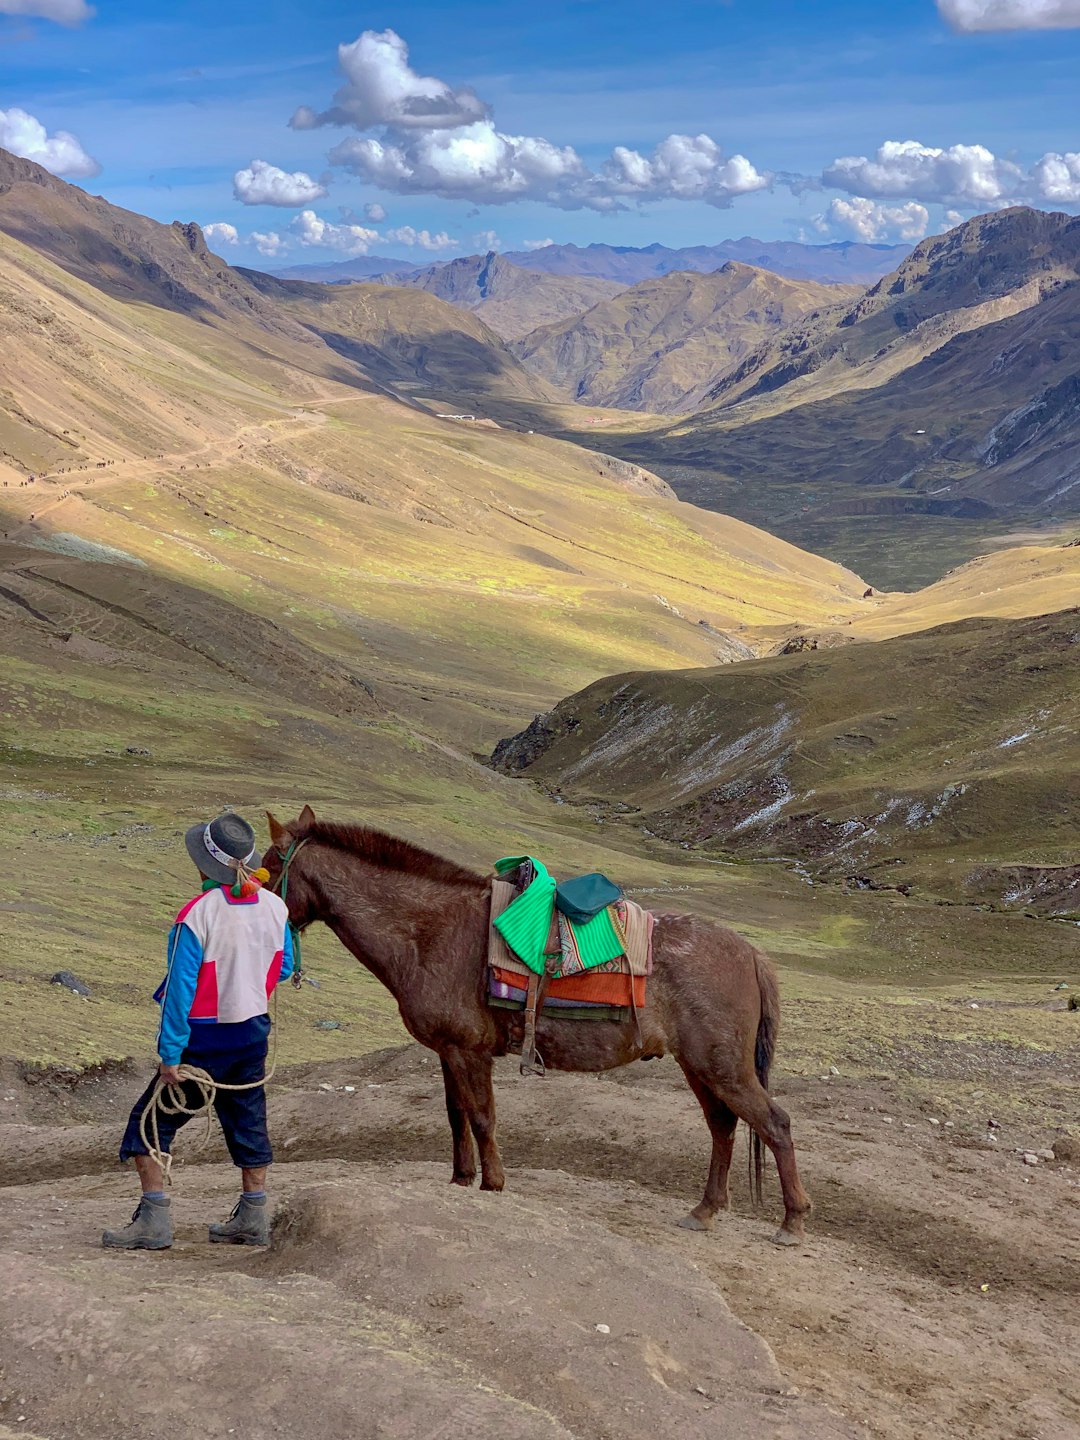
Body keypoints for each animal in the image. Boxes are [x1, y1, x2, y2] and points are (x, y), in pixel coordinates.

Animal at [269, 806, 812, 1244]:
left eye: (268, 868)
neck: (431, 933)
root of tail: (751, 953)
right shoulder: (448, 1050)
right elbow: (456, 1116)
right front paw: (460, 1179)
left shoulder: (468, 1050)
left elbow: (482, 1117)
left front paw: (492, 1183)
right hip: (698, 1066)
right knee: (723, 1127)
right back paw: (704, 1210)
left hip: (722, 1066)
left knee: (774, 1124)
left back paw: (791, 1221)